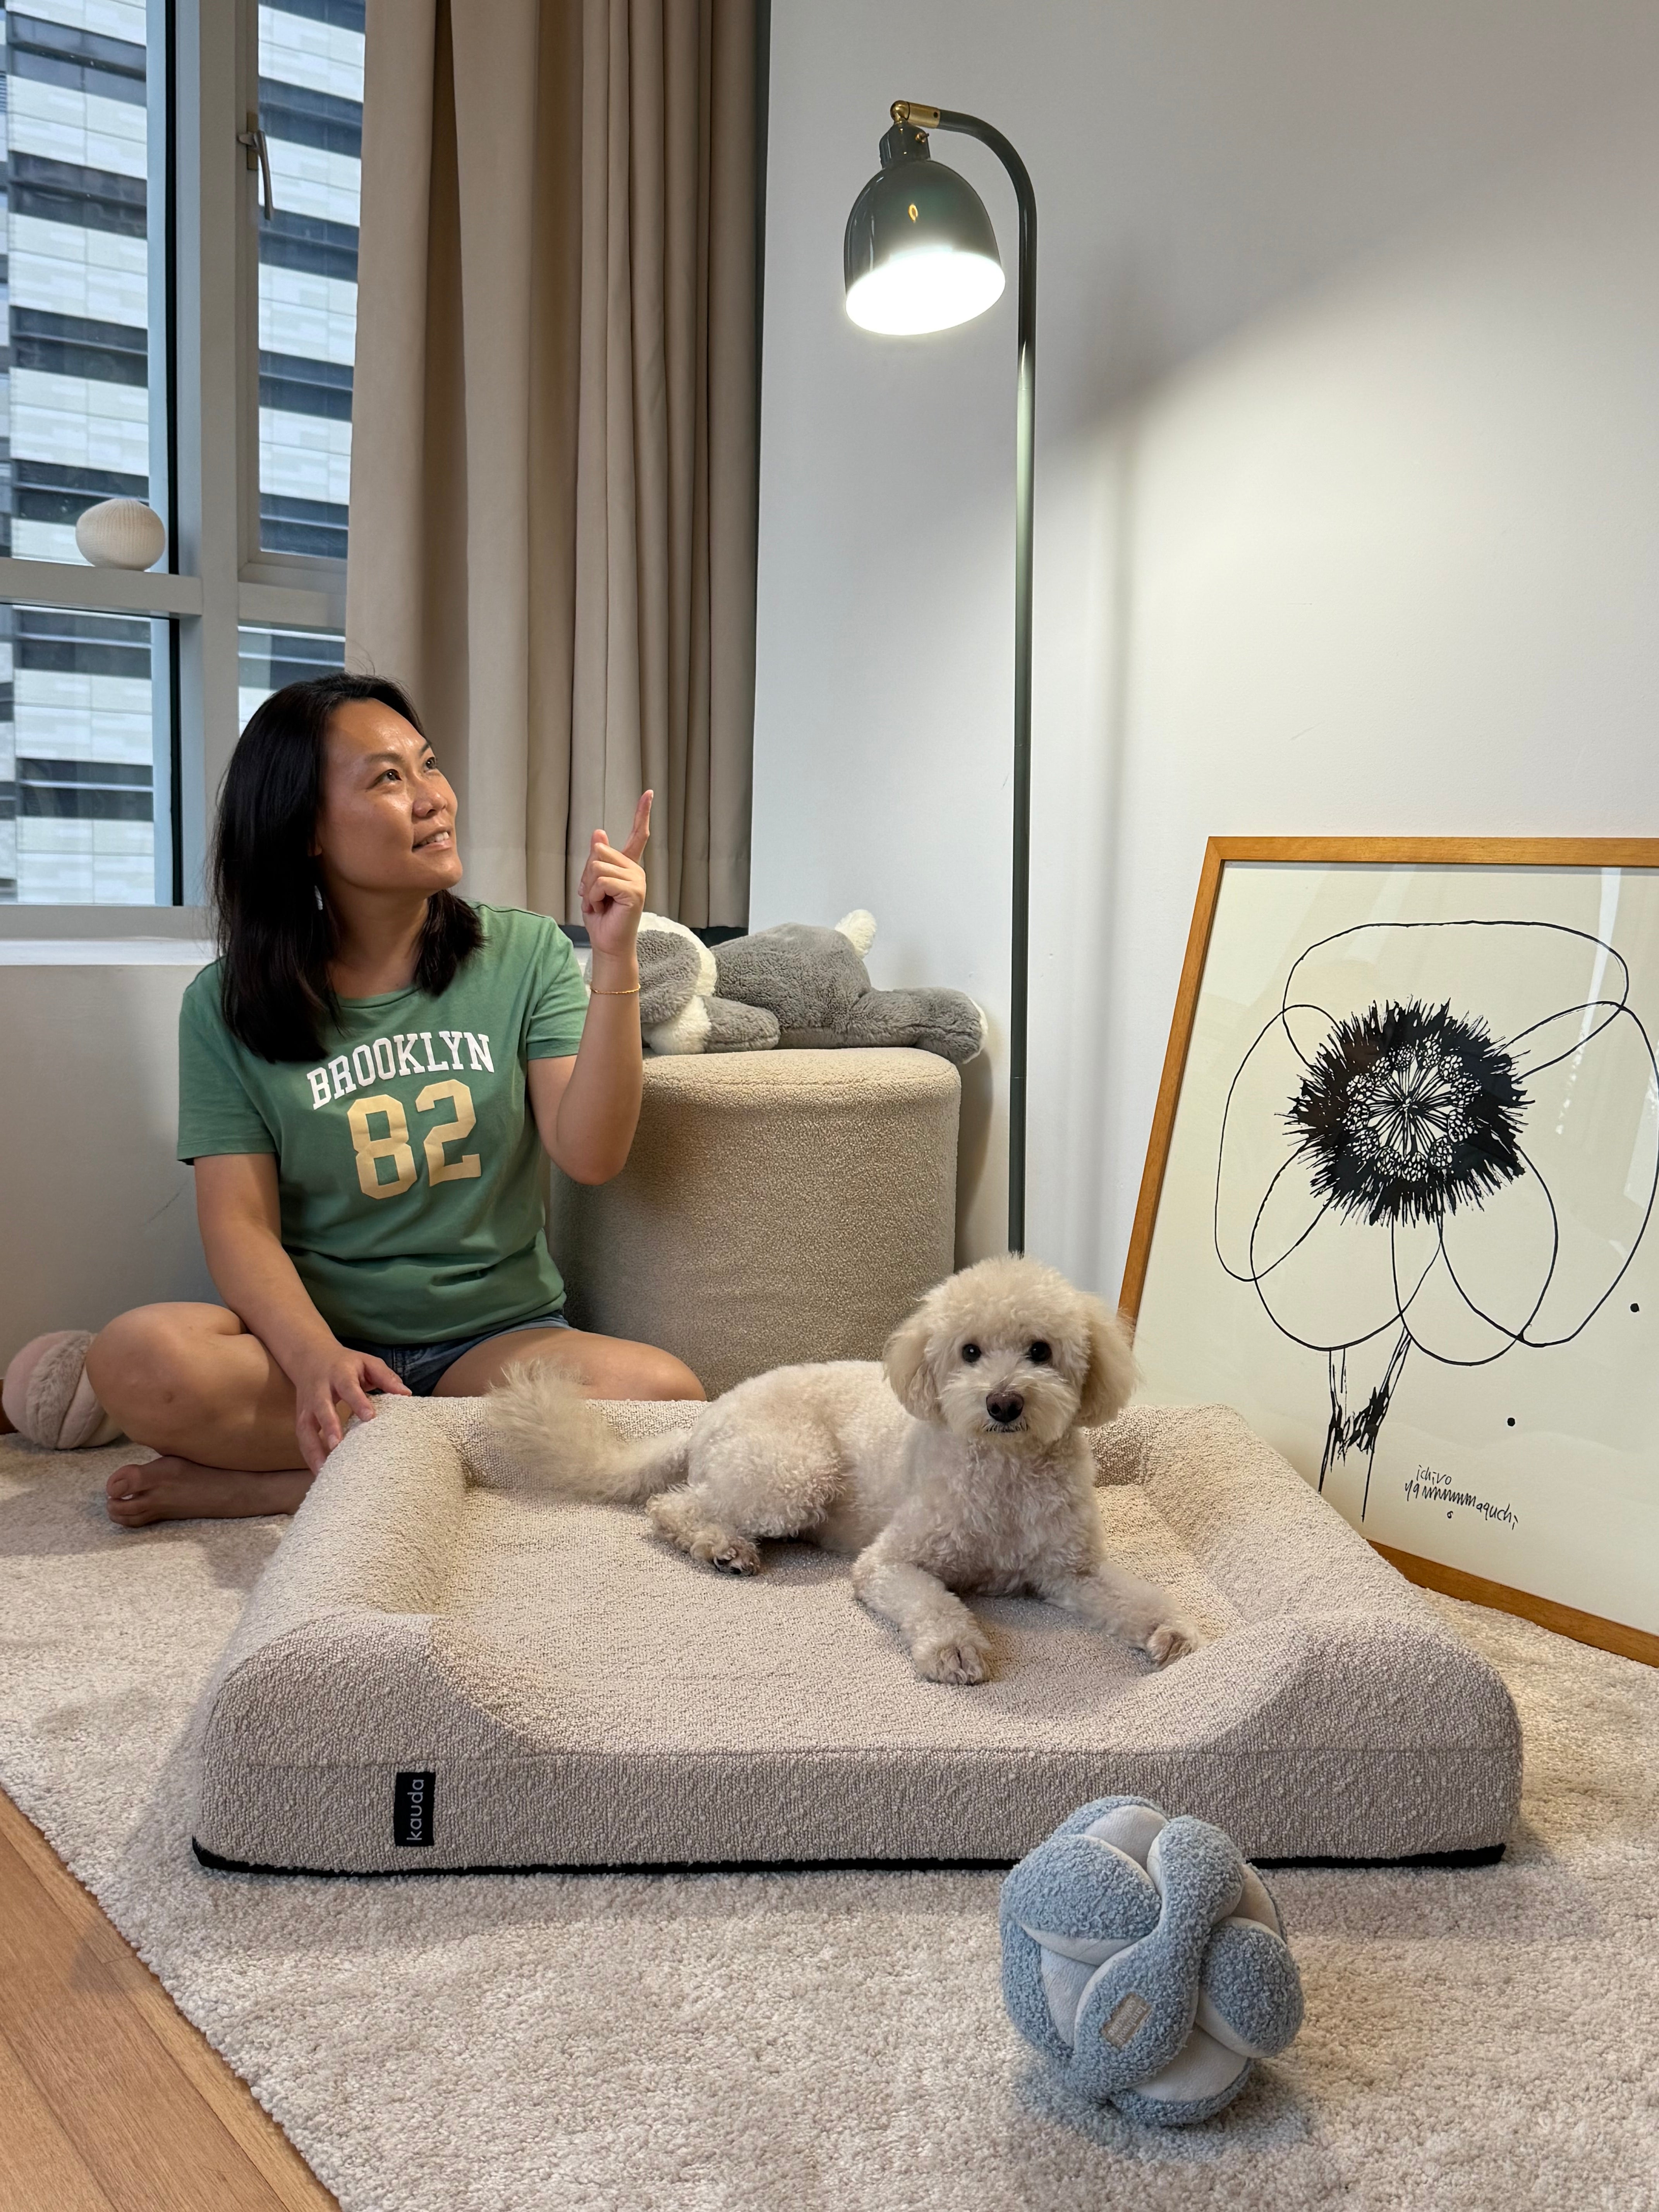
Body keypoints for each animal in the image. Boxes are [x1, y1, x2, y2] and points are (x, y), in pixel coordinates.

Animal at [486, 1256, 1200, 1685]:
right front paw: (956, 1649)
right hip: (794, 1473)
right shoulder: (890, 1562)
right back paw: (723, 1548)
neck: (1004, 1474)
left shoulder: (1069, 1570)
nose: (1003, 1402)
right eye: (969, 1352)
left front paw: (1169, 1630)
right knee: (675, 1506)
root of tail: (711, 1413)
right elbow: (932, 1602)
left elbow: (1132, 1597)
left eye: (1041, 1350)